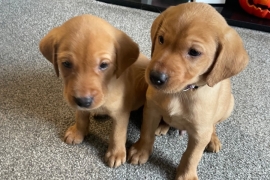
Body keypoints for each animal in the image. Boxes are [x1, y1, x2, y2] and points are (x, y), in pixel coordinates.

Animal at [39, 14, 149, 168]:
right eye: (66, 63)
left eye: (104, 65)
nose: (83, 101)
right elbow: (81, 117)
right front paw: (78, 132)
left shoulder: (121, 113)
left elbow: (117, 133)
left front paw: (116, 153)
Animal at [129, 2, 249, 179]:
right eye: (161, 39)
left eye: (194, 52)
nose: (155, 78)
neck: (181, 92)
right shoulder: (151, 110)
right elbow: (146, 132)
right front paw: (140, 151)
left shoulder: (200, 133)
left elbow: (192, 156)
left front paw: (186, 175)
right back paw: (163, 125)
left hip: (229, 106)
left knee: (213, 126)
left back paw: (213, 139)